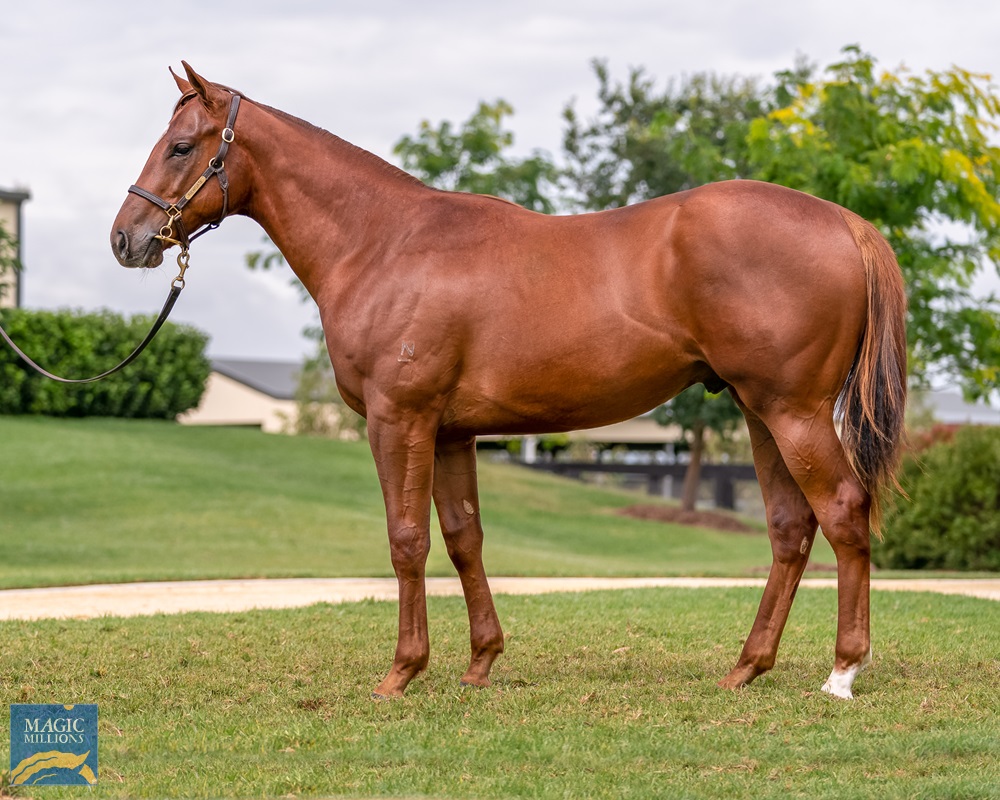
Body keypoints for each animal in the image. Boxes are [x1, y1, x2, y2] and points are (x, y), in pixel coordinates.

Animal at [111, 64, 908, 700]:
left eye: (182, 145)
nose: (127, 238)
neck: (383, 241)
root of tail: (844, 221)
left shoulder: (399, 419)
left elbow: (407, 540)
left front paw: (401, 673)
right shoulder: (451, 432)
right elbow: (464, 537)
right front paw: (480, 663)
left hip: (794, 410)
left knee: (842, 511)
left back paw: (842, 671)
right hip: (758, 411)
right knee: (790, 528)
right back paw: (746, 667)